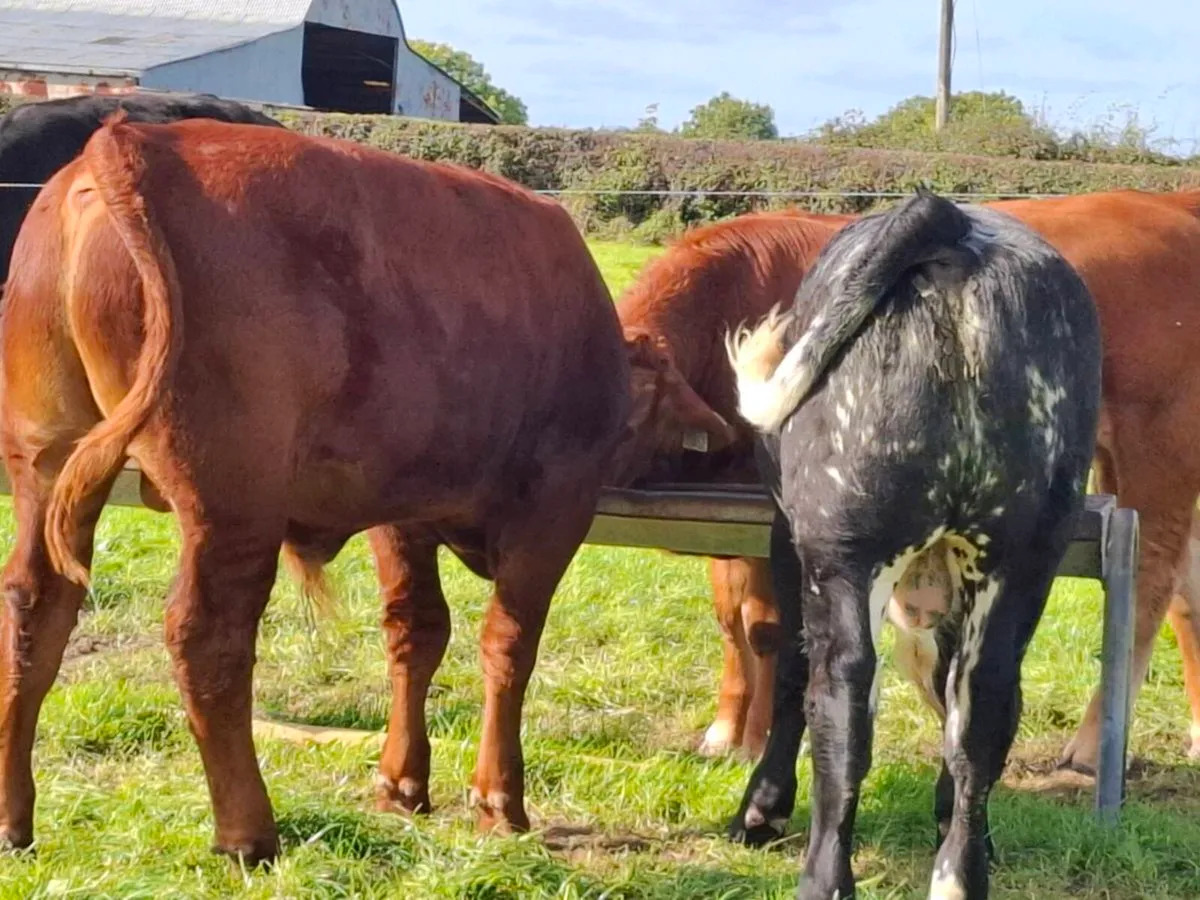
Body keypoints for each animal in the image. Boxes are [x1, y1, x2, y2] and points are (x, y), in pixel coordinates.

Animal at [0, 114, 734, 864]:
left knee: (35, 607)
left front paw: (403, 783)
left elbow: (416, 632)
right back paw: (248, 832)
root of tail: (133, 140)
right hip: (232, 499)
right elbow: (510, 643)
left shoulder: (399, 508)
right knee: (207, 637)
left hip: (45, 462)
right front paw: (498, 799)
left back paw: (14, 818)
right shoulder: (554, 508)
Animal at [724, 189, 1102, 900]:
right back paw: (960, 872)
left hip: (841, 552)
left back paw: (822, 876)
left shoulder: (788, 540)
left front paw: (762, 810)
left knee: (840, 701)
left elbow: (791, 672)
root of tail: (952, 222)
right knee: (983, 710)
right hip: (1023, 558)